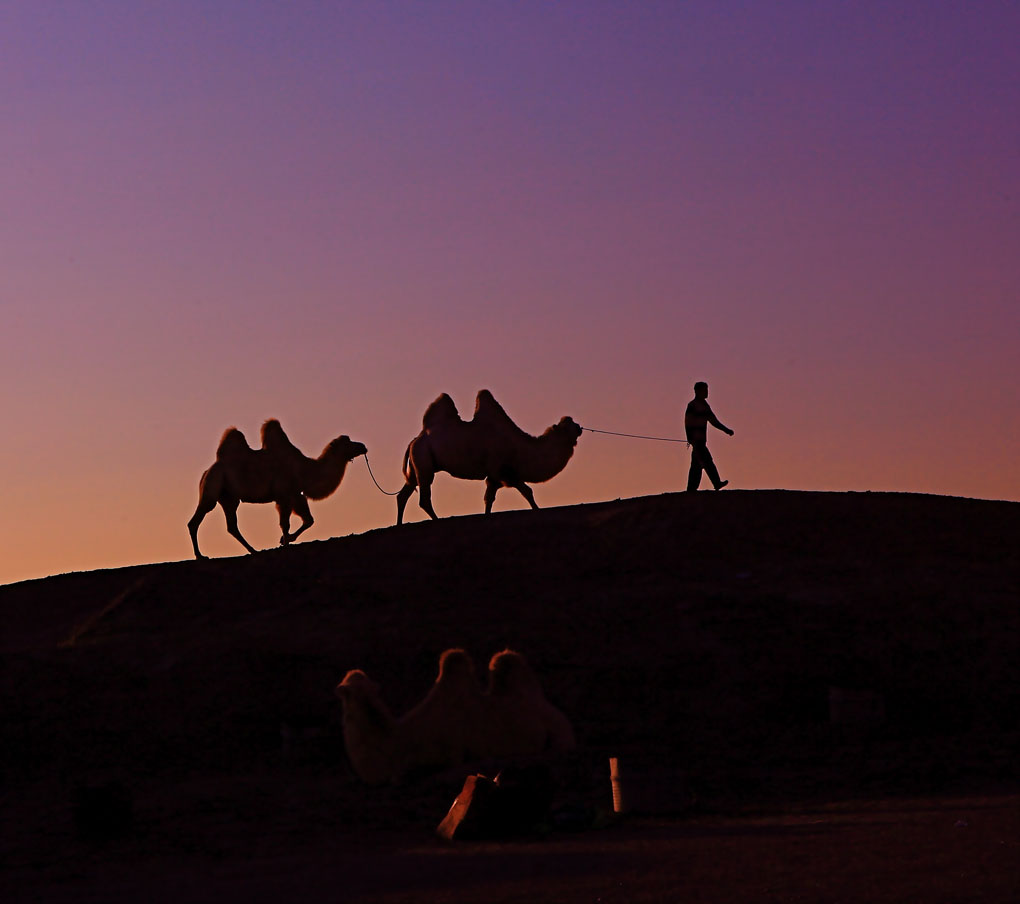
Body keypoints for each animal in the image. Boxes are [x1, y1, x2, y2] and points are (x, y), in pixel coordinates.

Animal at [187, 420, 367, 559]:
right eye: (347, 442)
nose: (363, 446)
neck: (305, 469)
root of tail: (207, 471)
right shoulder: (284, 494)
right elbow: (285, 524)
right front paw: (285, 543)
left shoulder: (295, 494)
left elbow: (308, 520)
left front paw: (285, 540)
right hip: (213, 485)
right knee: (196, 520)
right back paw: (200, 556)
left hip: (229, 497)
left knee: (231, 525)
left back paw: (253, 550)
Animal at [393, 389, 583, 522]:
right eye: (568, 426)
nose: (580, 427)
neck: (520, 448)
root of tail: (414, 440)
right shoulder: (503, 471)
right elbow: (527, 491)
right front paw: (538, 510)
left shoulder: (494, 477)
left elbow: (488, 500)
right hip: (423, 460)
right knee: (424, 497)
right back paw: (437, 520)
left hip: (417, 464)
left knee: (404, 494)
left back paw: (400, 524)